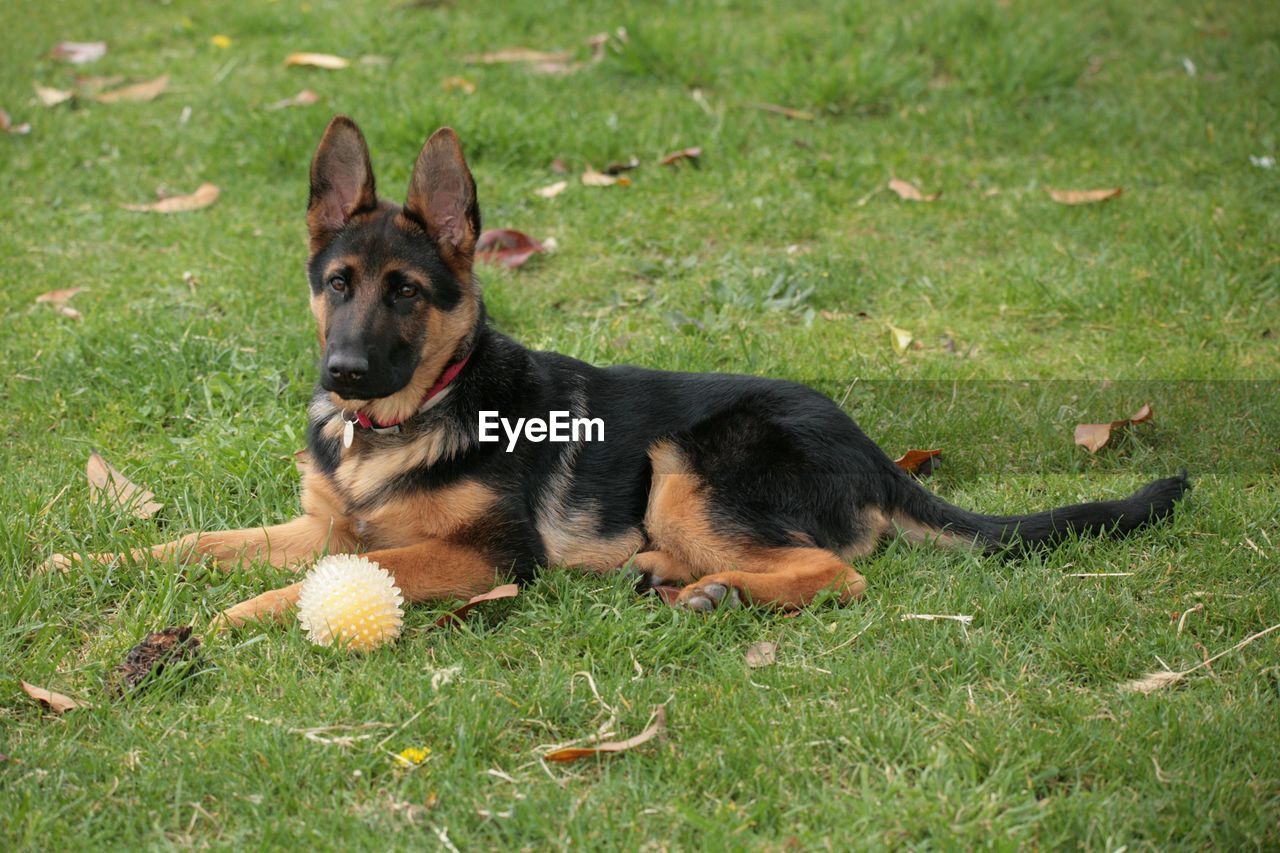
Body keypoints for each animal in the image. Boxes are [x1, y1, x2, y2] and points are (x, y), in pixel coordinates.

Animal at [49, 116, 1187, 622]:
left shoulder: (486, 558)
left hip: (688, 464)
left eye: (407, 294)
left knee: (835, 572)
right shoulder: (319, 526)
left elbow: (319, 583)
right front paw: (88, 562)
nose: (345, 374)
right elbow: (201, 542)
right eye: (337, 282)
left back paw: (710, 592)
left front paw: (239, 620)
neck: (407, 422)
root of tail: (871, 447)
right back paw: (669, 577)